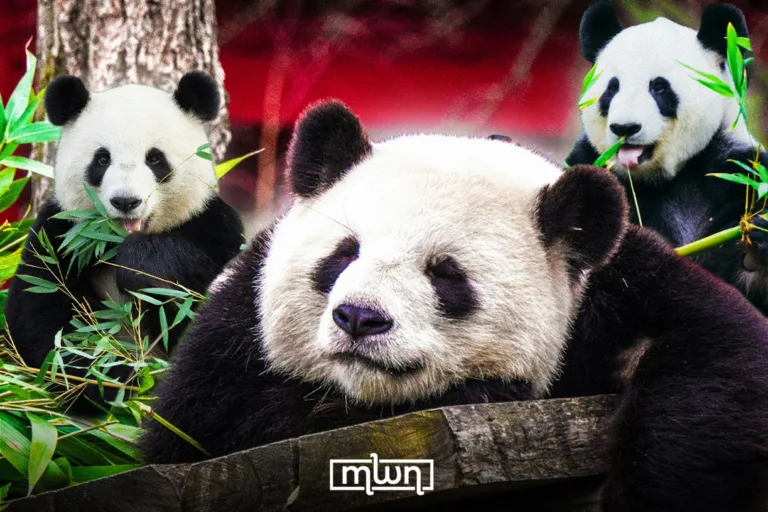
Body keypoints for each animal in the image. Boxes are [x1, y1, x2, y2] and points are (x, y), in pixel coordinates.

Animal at [4, 72, 244, 407]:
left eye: (155, 159)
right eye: (102, 160)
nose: (126, 201)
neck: (112, 244)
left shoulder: (212, 226)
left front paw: (141, 267)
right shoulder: (57, 236)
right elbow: (41, 319)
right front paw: (106, 378)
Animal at [141, 101, 768, 511]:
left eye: (446, 276)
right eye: (344, 254)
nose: (360, 318)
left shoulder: (615, 291)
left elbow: (713, 359)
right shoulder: (234, 327)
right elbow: (203, 427)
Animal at [566, 2, 768, 315]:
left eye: (659, 87)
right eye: (612, 88)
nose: (625, 128)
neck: (667, 175)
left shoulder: (739, 171)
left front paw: (753, 256)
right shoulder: (588, 164)